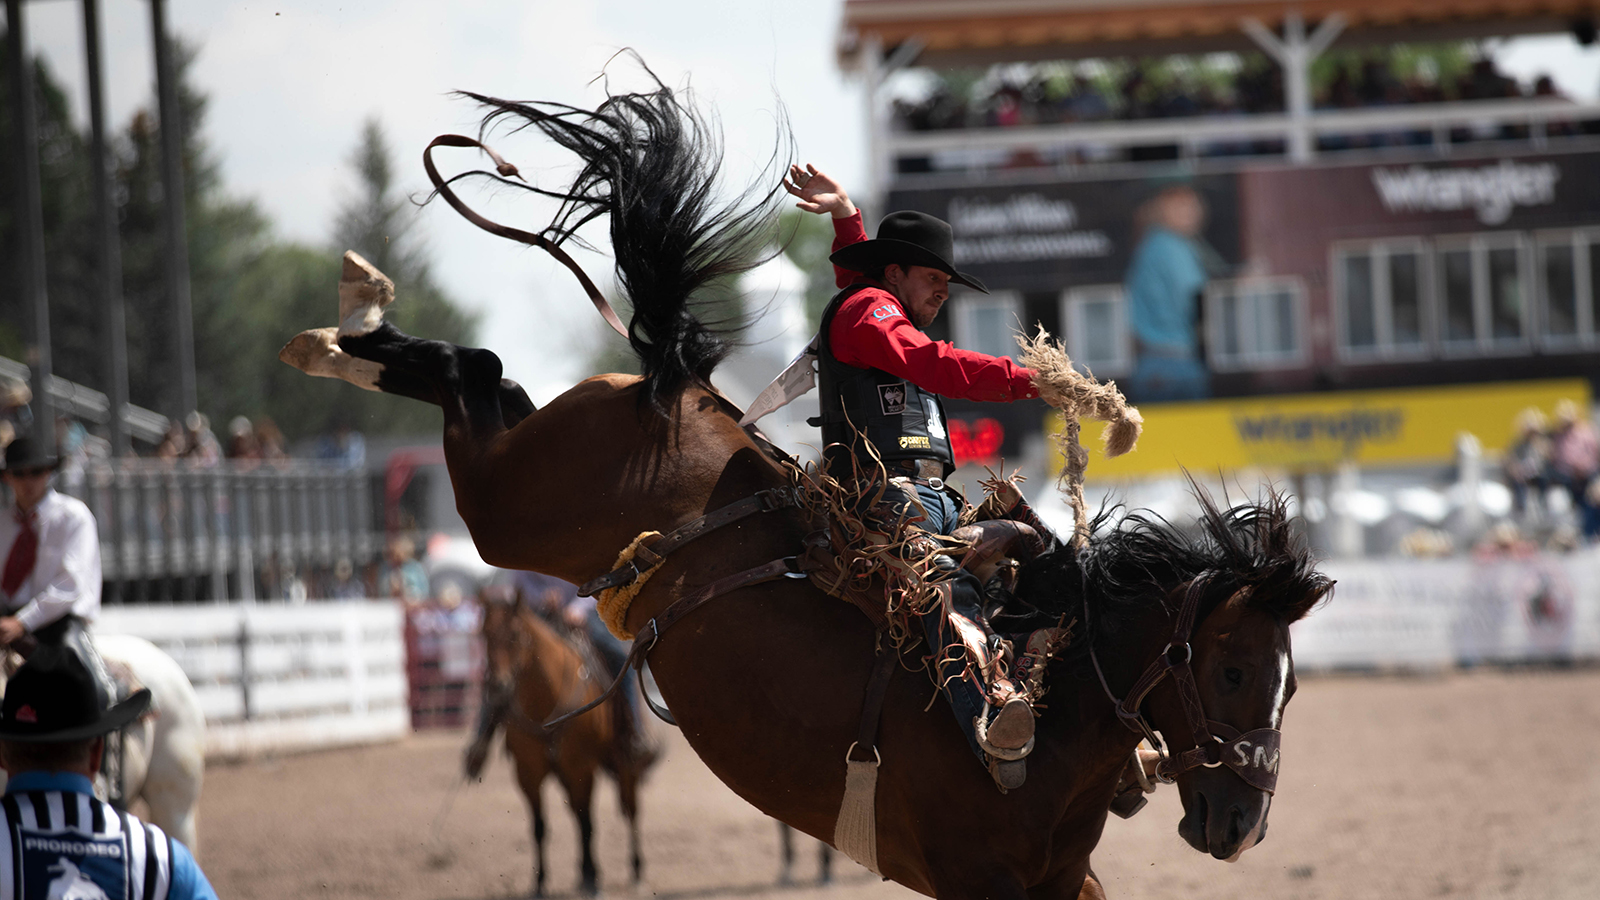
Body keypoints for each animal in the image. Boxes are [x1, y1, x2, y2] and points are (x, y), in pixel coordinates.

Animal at [470, 592, 652, 890]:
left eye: (516, 635)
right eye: (483, 633)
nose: (498, 686)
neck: (546, 704)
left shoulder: (582, 767)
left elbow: (587, 822)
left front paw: (590, 876)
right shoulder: (528, 773)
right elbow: (540, 826)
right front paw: (540, 882)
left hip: (624, 763)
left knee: (630, 808)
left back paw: (637, 869)